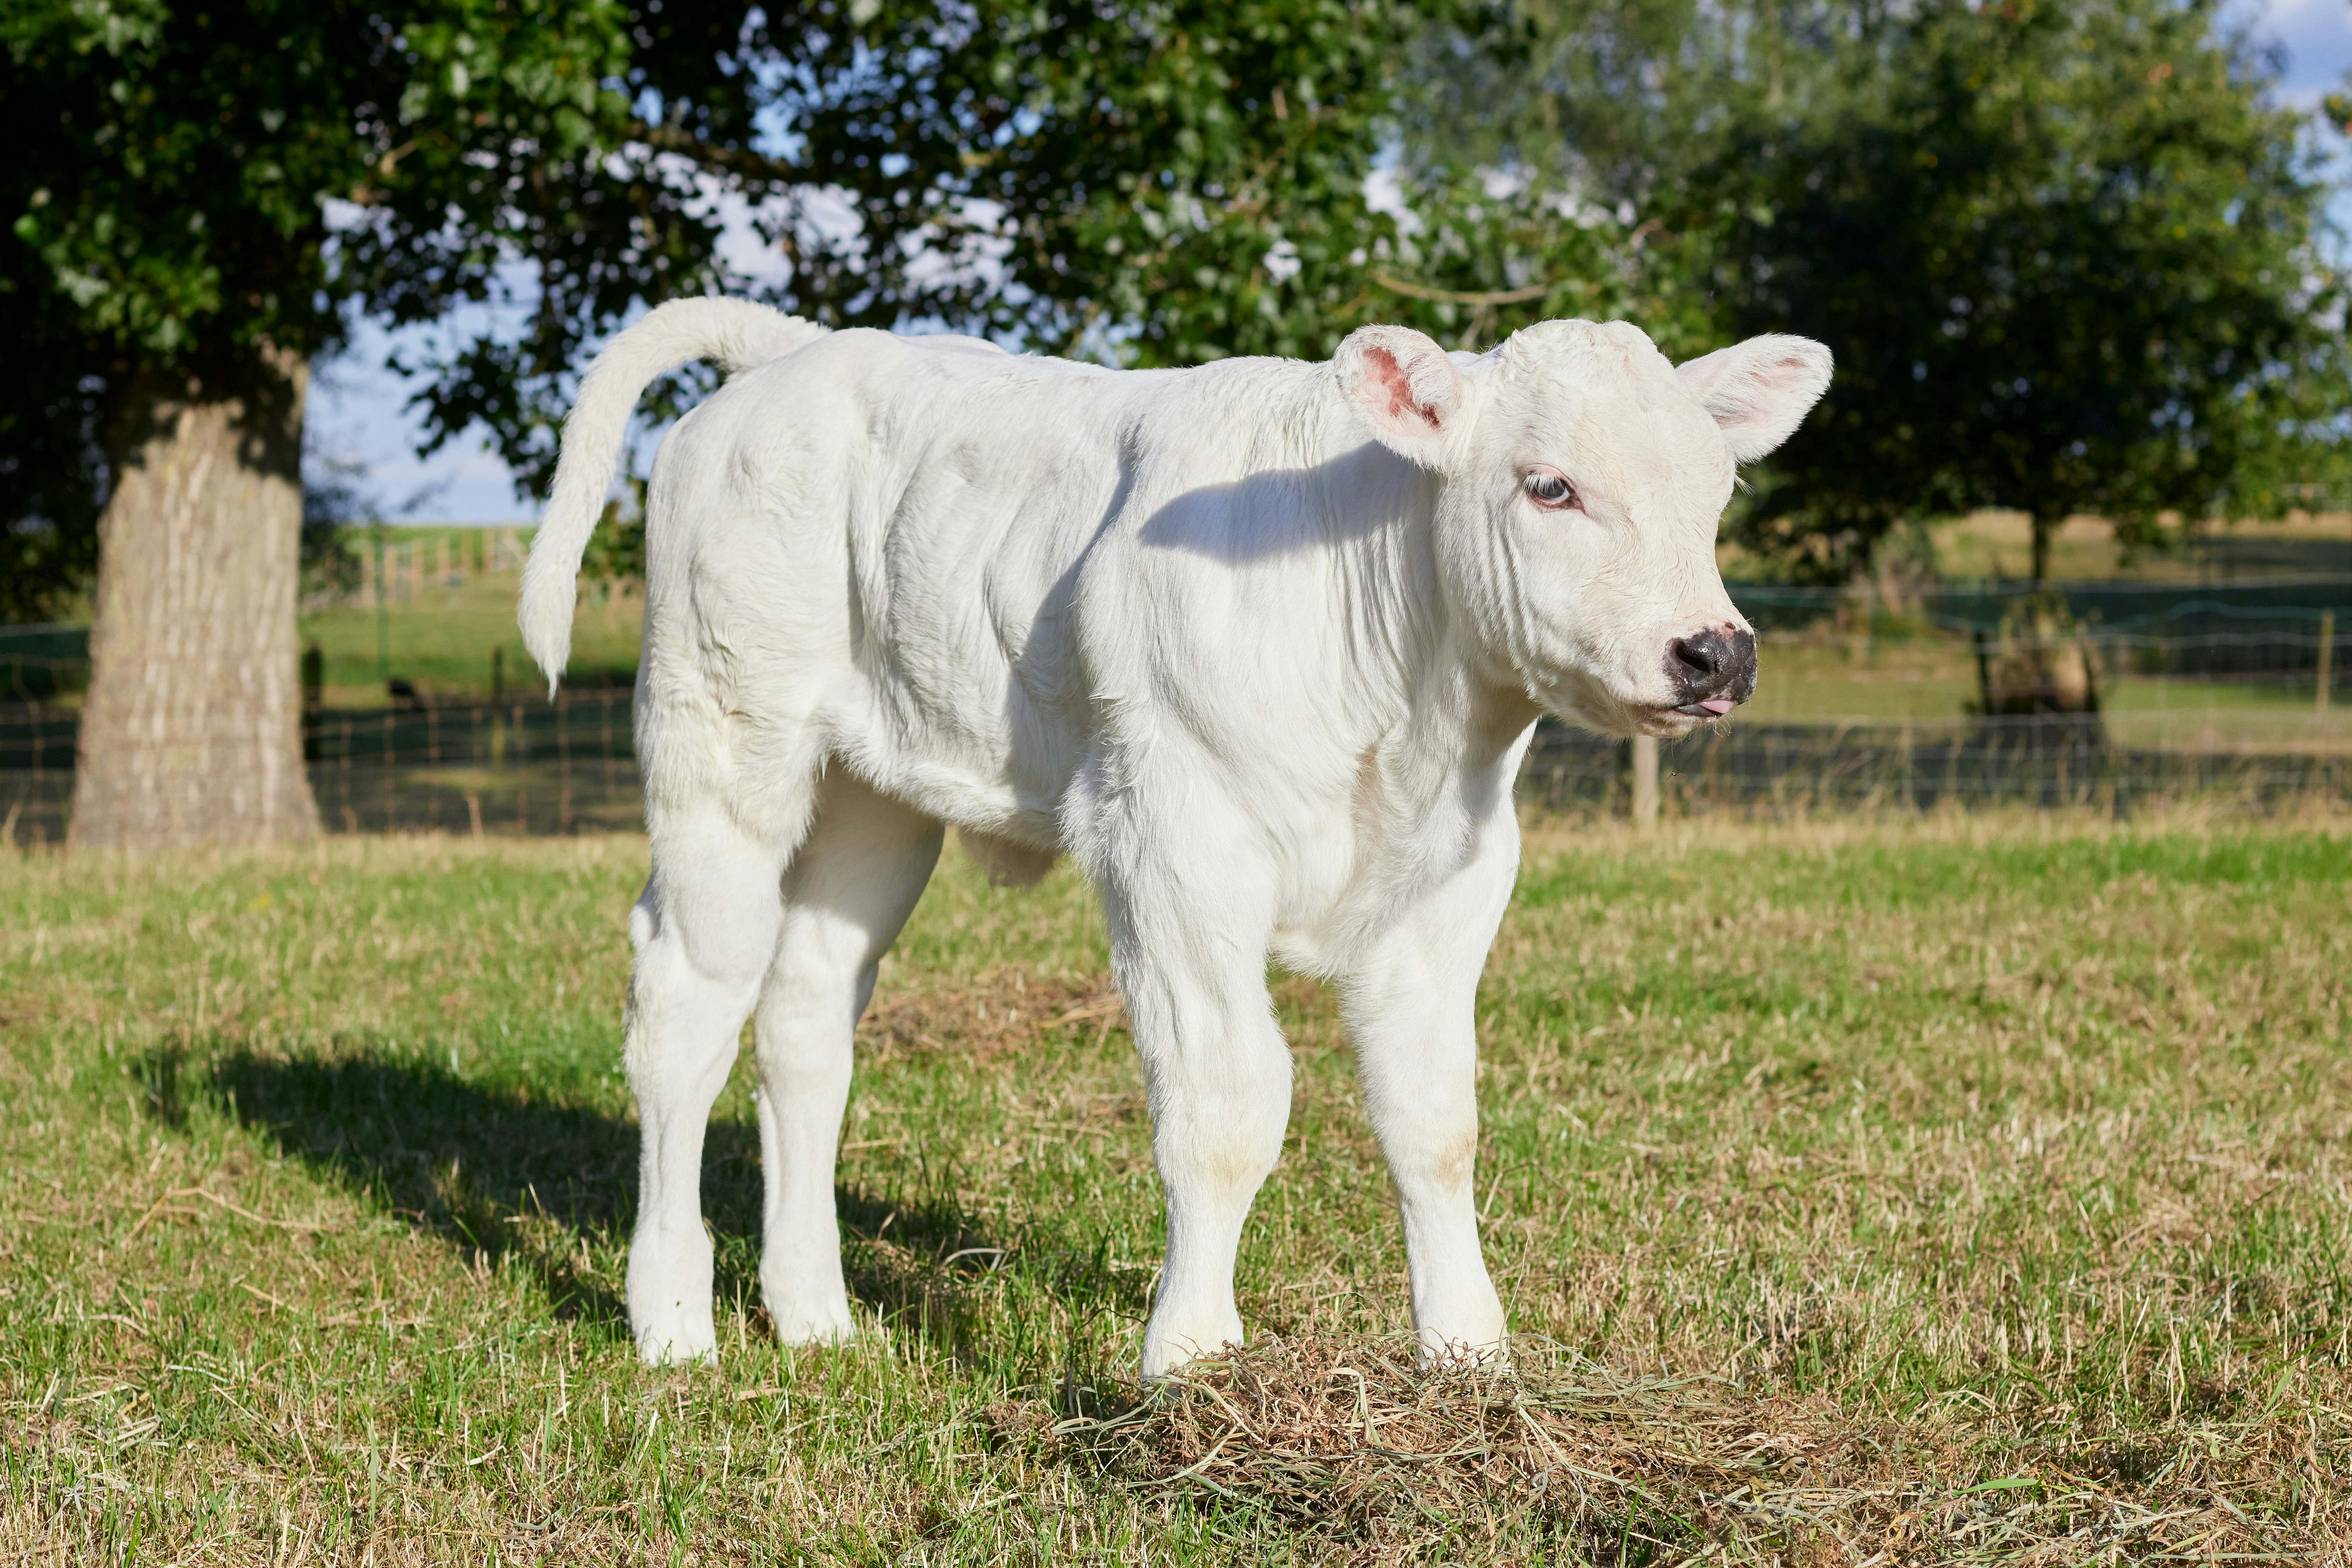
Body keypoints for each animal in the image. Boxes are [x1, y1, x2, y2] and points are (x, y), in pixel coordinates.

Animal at [519, 299, 1830, 1375]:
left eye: (1715, 492)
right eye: (1548, 485)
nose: (1714, 652)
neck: (1412, 716)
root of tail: (796, 351)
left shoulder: (1454, 875)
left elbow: (1435, 1120)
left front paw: (1468, 1352)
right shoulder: (1174, 842)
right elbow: (1227, 1106)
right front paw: (1191, 1356)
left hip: (871, 792)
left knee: (803, 1014)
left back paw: (815, 1313)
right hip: (721, 740)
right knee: (685, 1006)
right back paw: (672, 1321)